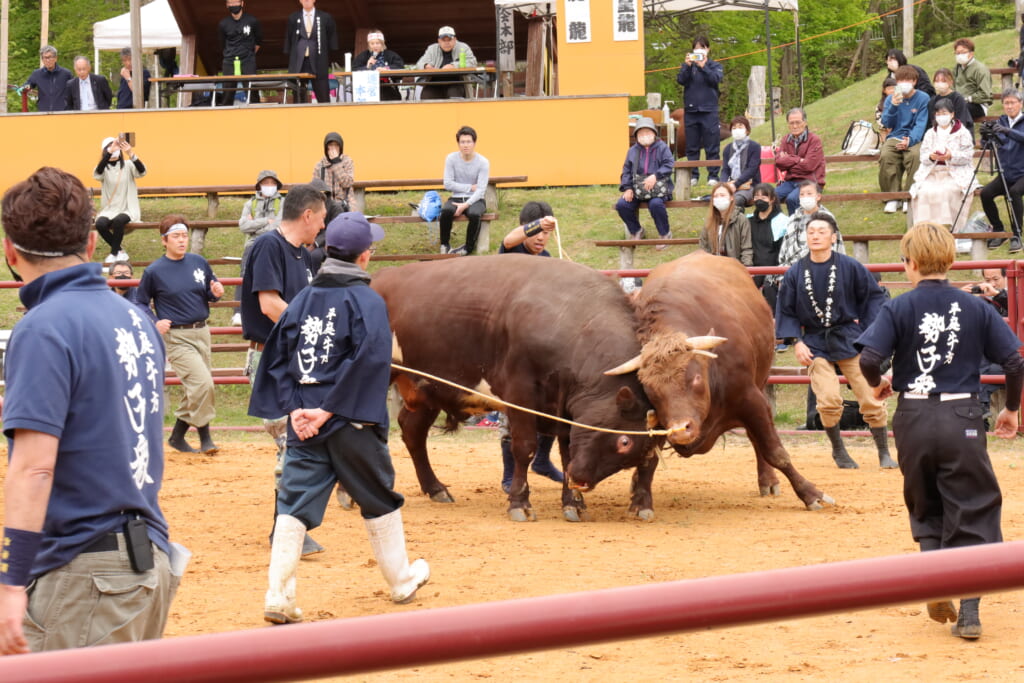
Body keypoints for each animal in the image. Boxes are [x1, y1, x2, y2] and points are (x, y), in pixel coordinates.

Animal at [598, 253, 831, 516]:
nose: (680, 430)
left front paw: (810, 493)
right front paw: (641, 499)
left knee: (756, 440)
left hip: (760, 383)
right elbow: (648, 457)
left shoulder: (752, 400)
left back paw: (768, 481)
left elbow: (775, 452)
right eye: (650, 390)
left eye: (695, 378)